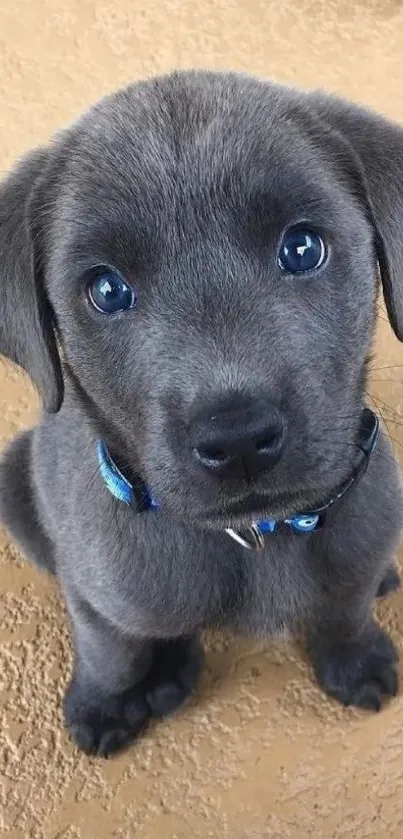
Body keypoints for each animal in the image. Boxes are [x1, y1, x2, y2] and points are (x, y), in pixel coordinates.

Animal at [0, 70, 403, 756]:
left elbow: (345, 606)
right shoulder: (96, 587)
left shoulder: (361, 536)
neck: (256, 537)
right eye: (106, 290)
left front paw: (356, 660)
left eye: (302, 248)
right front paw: (103, 703)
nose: (238, 440)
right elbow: (113, 649)